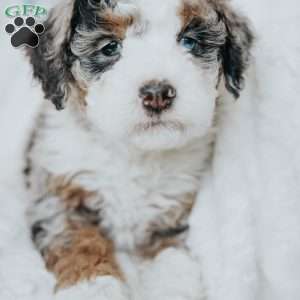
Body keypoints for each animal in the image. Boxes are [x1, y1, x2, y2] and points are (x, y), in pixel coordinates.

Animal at [24, 0, 253, 296]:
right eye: (110, 47)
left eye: (189, 42)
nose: (157, 94)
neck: (135, 151)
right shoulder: (56, 194)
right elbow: (78, 242)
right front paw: (93, 288)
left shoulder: (172, 213)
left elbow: (172, 257)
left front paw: (174, 289)